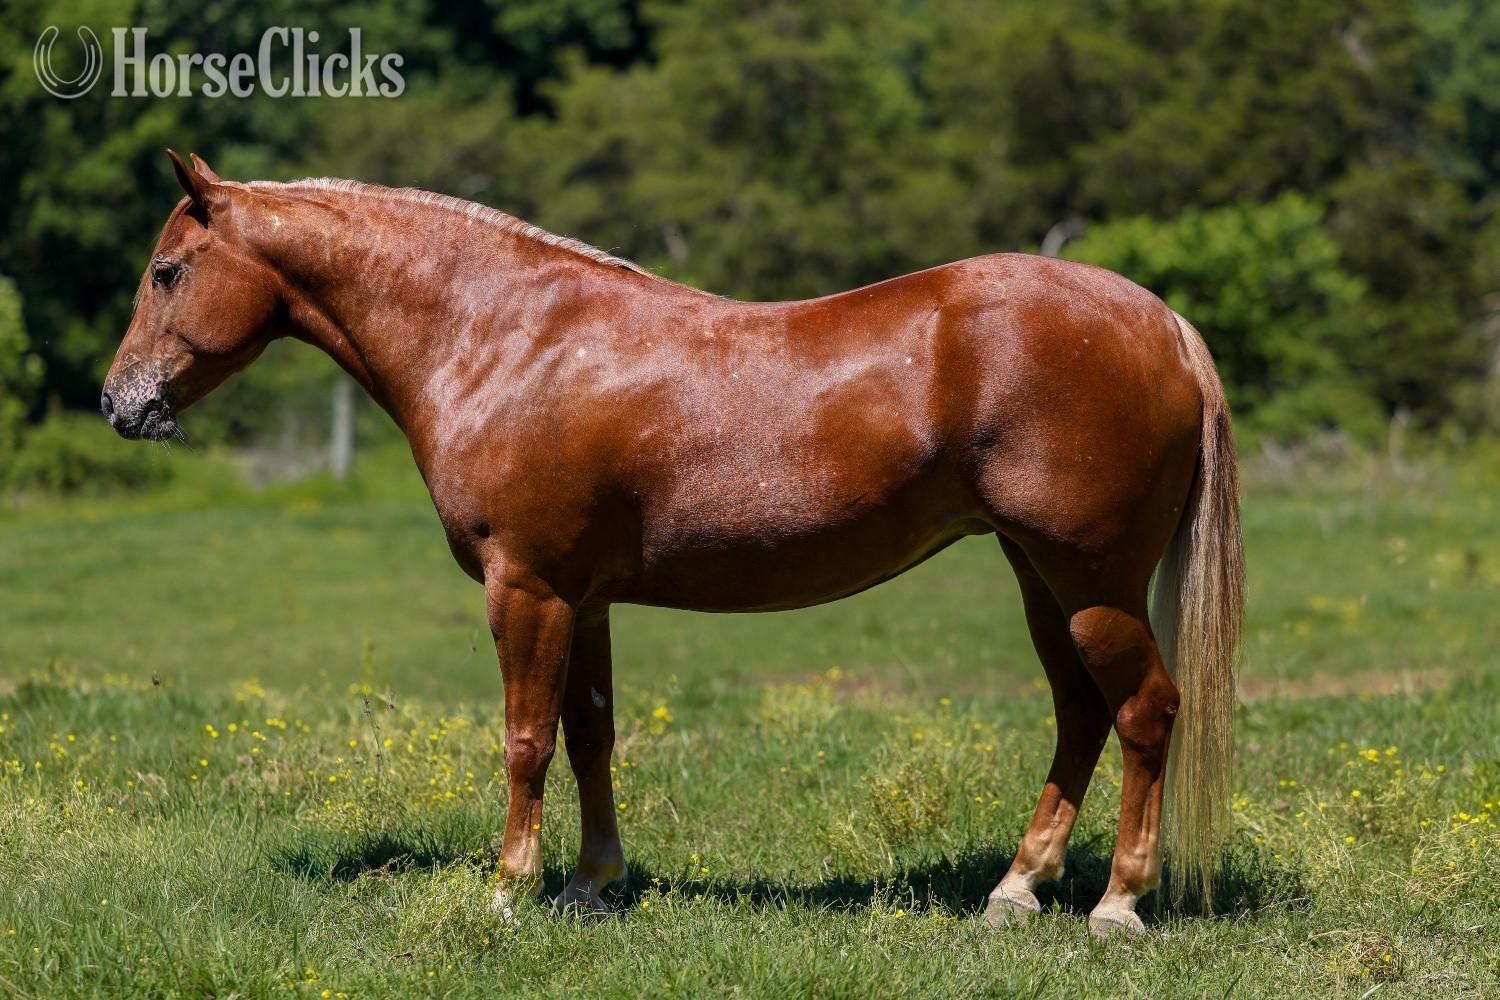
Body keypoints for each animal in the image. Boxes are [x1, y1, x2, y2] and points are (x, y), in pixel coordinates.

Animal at [104, 151, 1243, 936]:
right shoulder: (583, 596)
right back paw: (1016, 890)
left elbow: (526, 740)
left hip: (1090, 578)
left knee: (1145, 710)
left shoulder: (526, 587)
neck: (505, 337)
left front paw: (508, 891)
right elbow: (591, 734)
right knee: (1079, 713)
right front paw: (590, 884)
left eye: (165, 271)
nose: (120, 403)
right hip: (1039, 575)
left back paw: (1117, 905)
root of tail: (1161, 321)